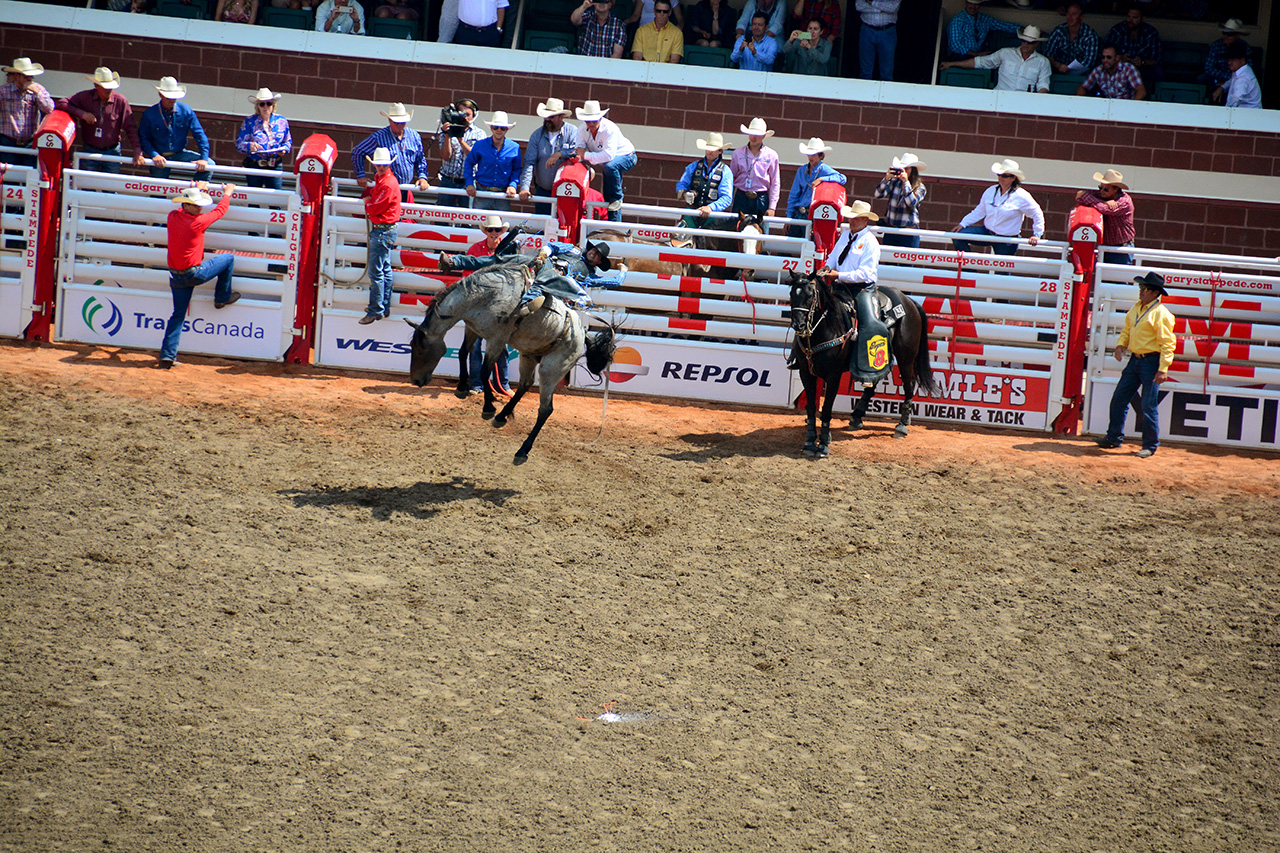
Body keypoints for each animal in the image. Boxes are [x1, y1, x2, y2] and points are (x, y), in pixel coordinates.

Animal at [404, 257, 614, 461]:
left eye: (421, 349)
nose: (415, 380)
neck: (485, 297)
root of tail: (581, 334)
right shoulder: (472, 328)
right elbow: (463, 353)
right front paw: (462, 387)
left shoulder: (497, 339)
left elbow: (484, 371)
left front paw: (488, 407)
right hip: (528, 356)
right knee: (525, 384)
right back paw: (502, 416)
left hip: (552, 368)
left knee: (545, 409)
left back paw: (522, 450)